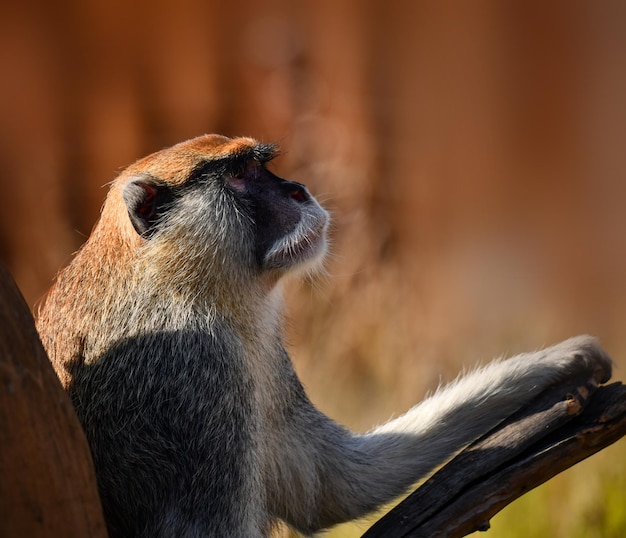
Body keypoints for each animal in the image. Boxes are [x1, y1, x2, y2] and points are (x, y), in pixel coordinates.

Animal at [34, 134, 608, 536]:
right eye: (240, 175)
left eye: (262, 166)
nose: (298, 189)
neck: (170, 279)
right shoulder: (191, 374)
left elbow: (329, 483)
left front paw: (567, 360)